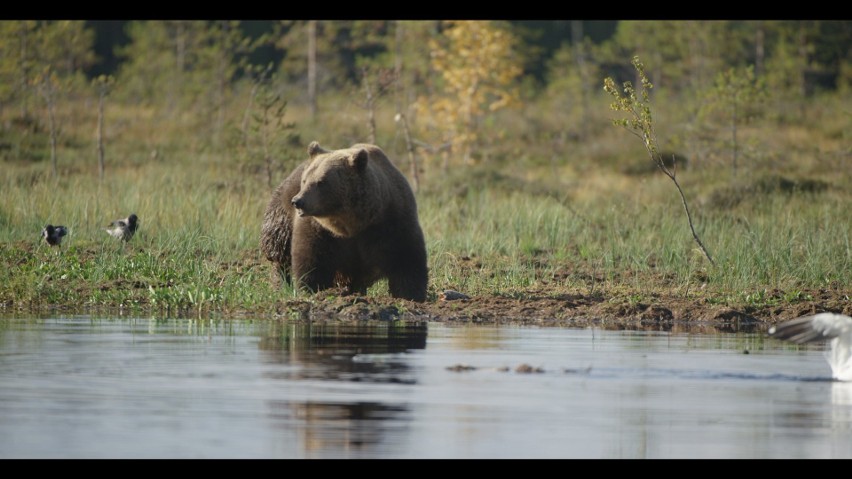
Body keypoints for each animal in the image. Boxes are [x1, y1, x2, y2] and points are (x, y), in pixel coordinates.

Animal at [260, 141, 430, 302]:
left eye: (321, 182)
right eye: (304, 180)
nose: (298, 201)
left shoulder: (392, 221)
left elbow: (406, 260)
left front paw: (410, 295)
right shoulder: (319, 230)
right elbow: (312, 260)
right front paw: (314, 290)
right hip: (281, 218)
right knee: (279, 255)